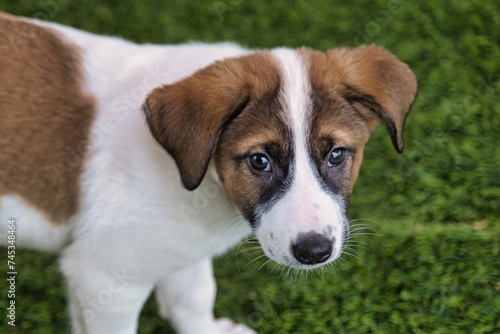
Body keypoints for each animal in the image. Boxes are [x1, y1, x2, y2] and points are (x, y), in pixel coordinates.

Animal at [0, 12, 418, 334]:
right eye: (259, 161)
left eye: (336, 155)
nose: (314, 252)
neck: (194, 176)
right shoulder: (103, 274)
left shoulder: (179, 248)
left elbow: (194, 296)